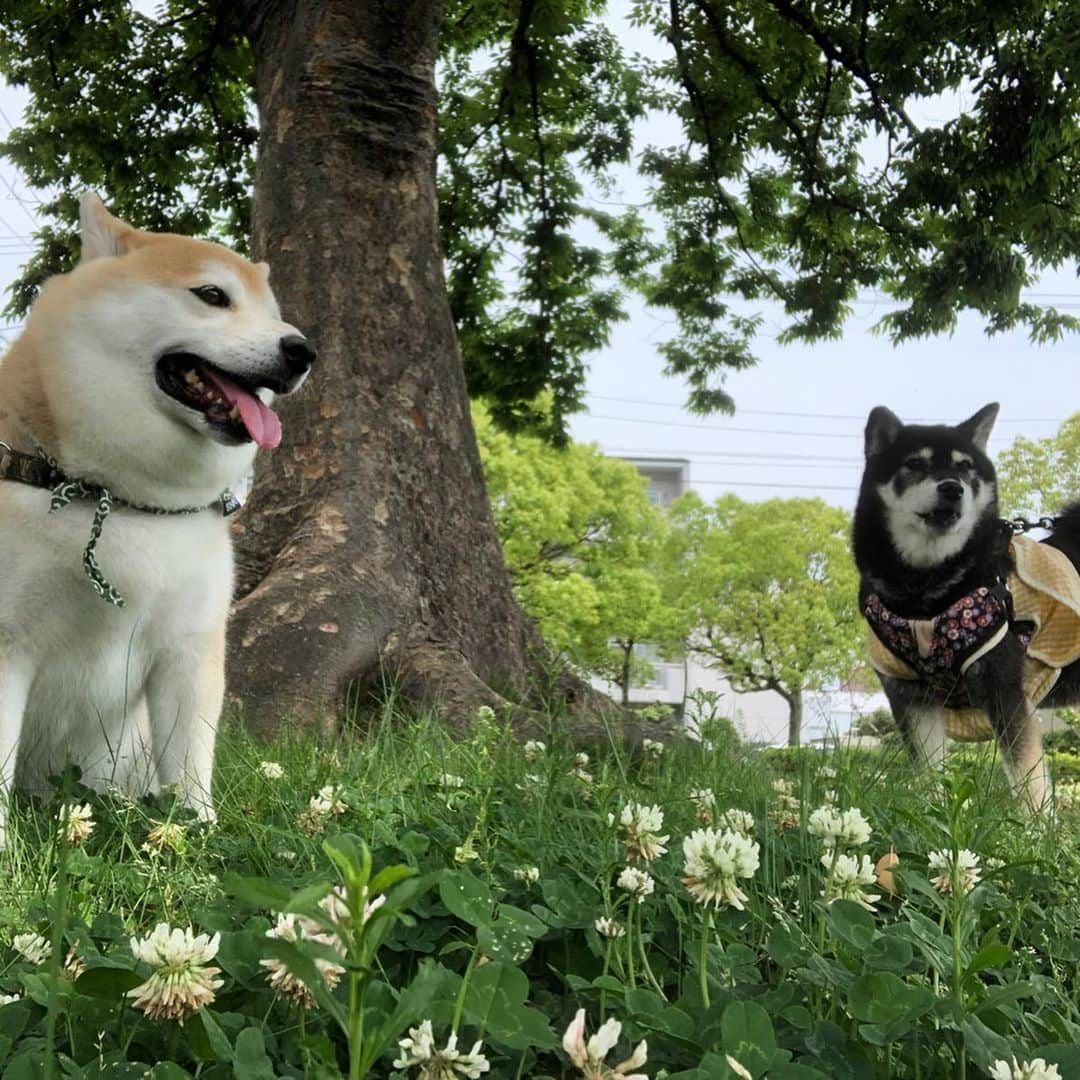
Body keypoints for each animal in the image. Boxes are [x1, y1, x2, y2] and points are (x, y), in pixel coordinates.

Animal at [0, 194, 315, 838]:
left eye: (275, 316)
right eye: (213, 295)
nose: (302, 350)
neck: (124, 499)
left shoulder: (188, 651)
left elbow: (190, 768)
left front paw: (197, 837)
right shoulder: (7, 641)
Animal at [855, 406, 1080, 812]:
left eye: (965, 467)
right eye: (915, 463)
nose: (952, 488)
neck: (926, 593)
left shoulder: (1005, 687)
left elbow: (1027, 777)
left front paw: (1036, 826)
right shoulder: (910, 696)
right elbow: (930, 771)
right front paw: (933, 814)